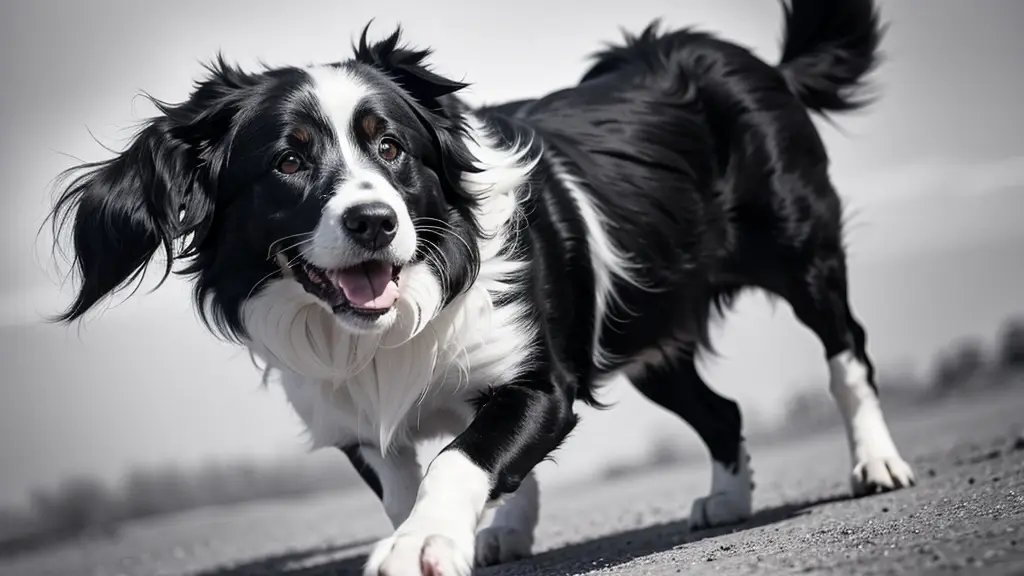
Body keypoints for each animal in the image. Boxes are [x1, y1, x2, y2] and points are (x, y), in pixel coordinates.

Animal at [48, 0, 917, 569]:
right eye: (289, 160)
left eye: (391, 147)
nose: (373, 222)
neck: (393, 319)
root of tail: (749, 60)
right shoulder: (360, 424)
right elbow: (419, 480)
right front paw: (440, 535)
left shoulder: (541, 383)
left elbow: (463, 459)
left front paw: (426, 543)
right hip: (644, 336)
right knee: (722, 409)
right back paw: (729, 502)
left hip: (802, 255)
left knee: (848, 350)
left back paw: (876, 464)